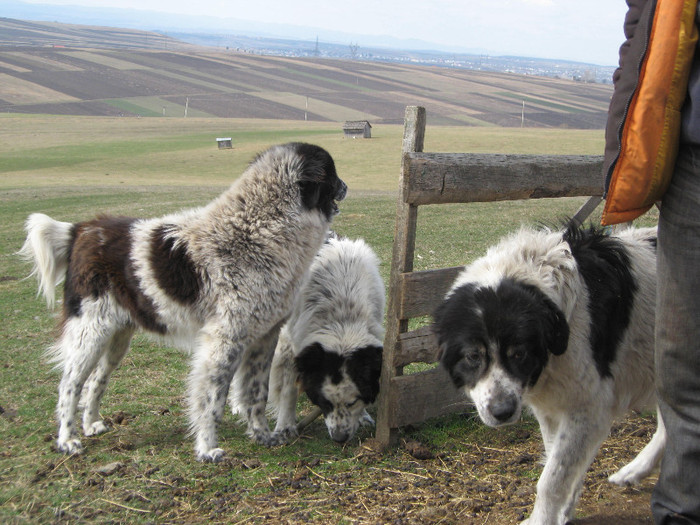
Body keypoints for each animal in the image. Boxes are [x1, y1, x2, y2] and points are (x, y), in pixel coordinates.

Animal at [20, 141, 348, 460]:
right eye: (332, 173)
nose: (346, 185)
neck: (258, 228)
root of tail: (82, 229)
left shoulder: (262, 337)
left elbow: (255, 394)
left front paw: (262, 436)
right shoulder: (223, 340)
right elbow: (212, 399)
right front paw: (207, 448)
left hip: (116, 338)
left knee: (95, 381)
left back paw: (91, 424)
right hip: (90, 332)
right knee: (69, 385)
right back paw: (67, 440)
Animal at [232, 233, 386, 442]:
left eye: (353, 402)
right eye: (325, 403)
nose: (339, 438)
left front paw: (363, 416)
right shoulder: (291, 345)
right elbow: (288, 390)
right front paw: (285, 426)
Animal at [432, 223, 668, 524]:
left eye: (519, 353)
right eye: (473, 356)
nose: (502, 412)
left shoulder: (589, 409)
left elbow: (551, 478)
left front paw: (544, 517)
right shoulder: (552, 409)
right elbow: (561, 464)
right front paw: (564, 511)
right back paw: (634, 471)